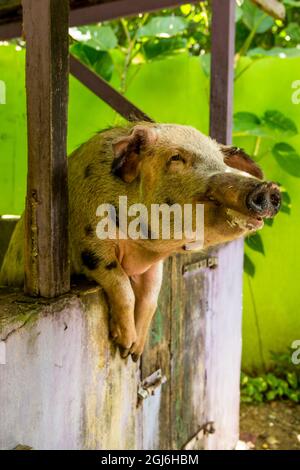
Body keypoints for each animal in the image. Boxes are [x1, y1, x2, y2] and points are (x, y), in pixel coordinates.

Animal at [0, 122, 282, 360]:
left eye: (220, 161)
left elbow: (151, 296)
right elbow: (122, 286)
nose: (268, 188)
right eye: (176, 158)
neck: (143, 246)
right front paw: (123, 348)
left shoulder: (154, 264)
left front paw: (136, 351)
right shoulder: (90, 244)